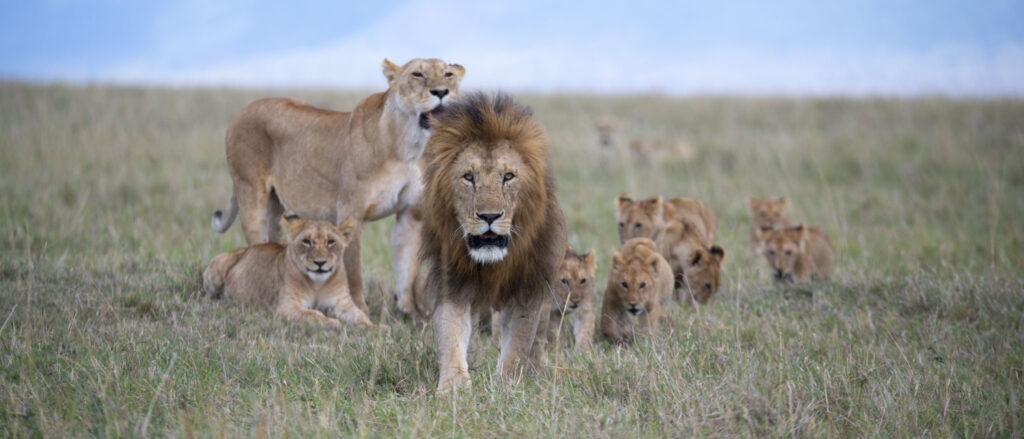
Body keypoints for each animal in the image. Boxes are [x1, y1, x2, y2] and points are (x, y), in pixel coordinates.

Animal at [202, 215, 372, 328]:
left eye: (331, 242)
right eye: (306, 241)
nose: (320, 263)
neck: (318, 284)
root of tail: (245, 249)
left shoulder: (343, 303)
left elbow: (360, 315)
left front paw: (373, 328)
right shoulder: (287, 307)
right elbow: (313, 314)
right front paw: (332, 322)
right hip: (217, 265)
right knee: (208, 296)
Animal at [209, 57, 465, 318]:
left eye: (448, 74)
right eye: (417, 75)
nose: (441, 92)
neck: (409, 145)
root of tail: (243, 110)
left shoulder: (411, 214)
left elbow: (407, 268)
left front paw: (411, 315)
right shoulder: (351, 211)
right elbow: (354, 272)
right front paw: (360, 309)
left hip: (276, 207)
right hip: (251, 193)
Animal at [420, 92, 566, 394]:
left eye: (507, 176)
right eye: (469, 177)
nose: (489, 216)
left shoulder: (527, 285)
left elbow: (519, 342)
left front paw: (508, 385)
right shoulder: (452, 281)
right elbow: (450, 333)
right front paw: (453, 387)